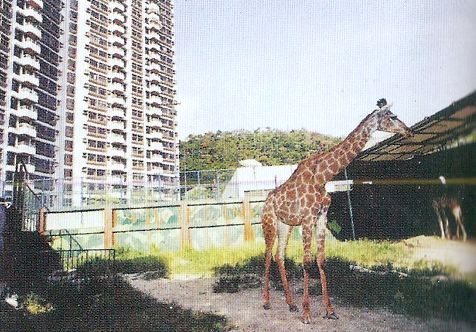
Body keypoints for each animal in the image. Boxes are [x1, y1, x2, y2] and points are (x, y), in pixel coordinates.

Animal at [260, 99, 412, 324]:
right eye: (392, 117)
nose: (408, 131)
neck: (323, 177)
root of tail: (267, 200)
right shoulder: (308, 219)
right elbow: (307, 262)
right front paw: (307, 314)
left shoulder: (321, 217)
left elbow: (321, 260)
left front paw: (329, 310)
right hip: (268, 222)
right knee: (268, 254)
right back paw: (266, 302)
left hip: (285, 225)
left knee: (279, 255)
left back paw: (290, 304)